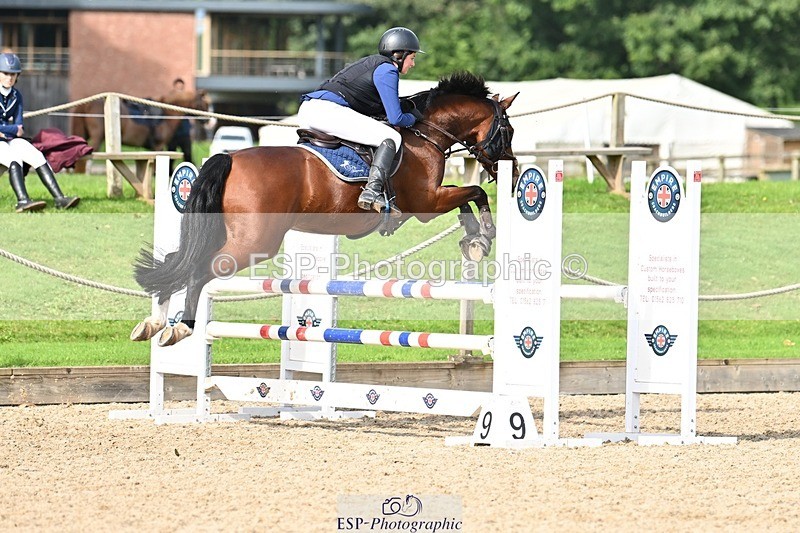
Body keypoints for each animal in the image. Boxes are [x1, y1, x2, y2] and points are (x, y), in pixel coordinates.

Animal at [130, 72, 518, 347]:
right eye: (508, 131)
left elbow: (467, 198)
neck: (426, 134)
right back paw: (180, 328)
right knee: (198, 270)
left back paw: (153, 324)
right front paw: (482, 238)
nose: (512, 174)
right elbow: (474, 193)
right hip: (254, 242)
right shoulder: (426, 202)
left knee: (176, 263)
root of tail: (228, 158)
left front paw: (473, 241)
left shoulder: (428, 201)